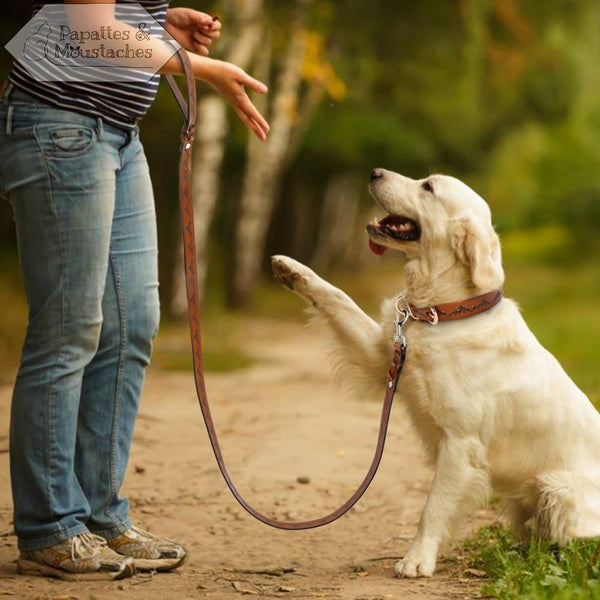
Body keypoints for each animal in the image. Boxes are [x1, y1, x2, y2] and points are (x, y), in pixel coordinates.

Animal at [270, 168, 600, 576]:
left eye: (428, 186)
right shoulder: (382, 359)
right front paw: (292, 269)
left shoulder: (460, 442)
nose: (374, 172)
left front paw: (417, 559)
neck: (444, 312)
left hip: (558, 487)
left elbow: (433, 508)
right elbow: (338, 297)